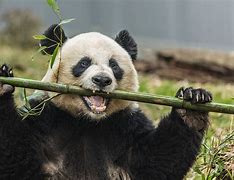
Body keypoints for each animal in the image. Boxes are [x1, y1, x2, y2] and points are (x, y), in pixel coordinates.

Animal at [0, 24, 212, 180]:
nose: (102, 80)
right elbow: (18, 161)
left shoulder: (125, 125)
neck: (87, 121)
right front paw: (3, 83)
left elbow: (157, 163)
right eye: (84, 63)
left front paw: (193, 103)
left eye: (114, 66)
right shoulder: (46, 117)